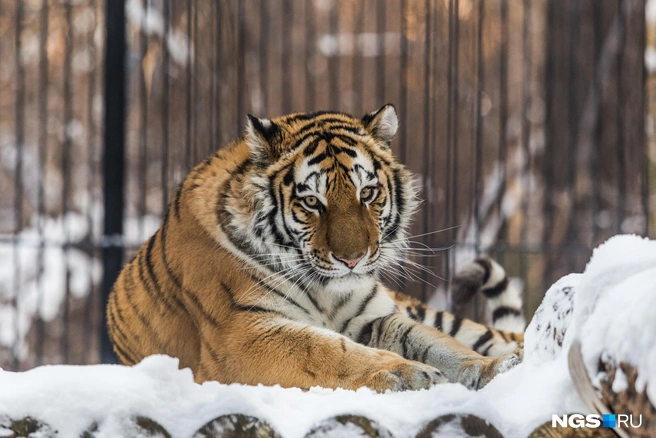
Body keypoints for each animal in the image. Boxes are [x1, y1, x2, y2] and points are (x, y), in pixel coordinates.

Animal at [110, 104, 524, 392]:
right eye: (312, 202)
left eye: (367, 193)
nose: (353, 259)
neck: (326, 291)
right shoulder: (241, 332)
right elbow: (328, 351)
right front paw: (406, 373)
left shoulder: (374, 318)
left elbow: (439, 344)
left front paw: (494, 369)